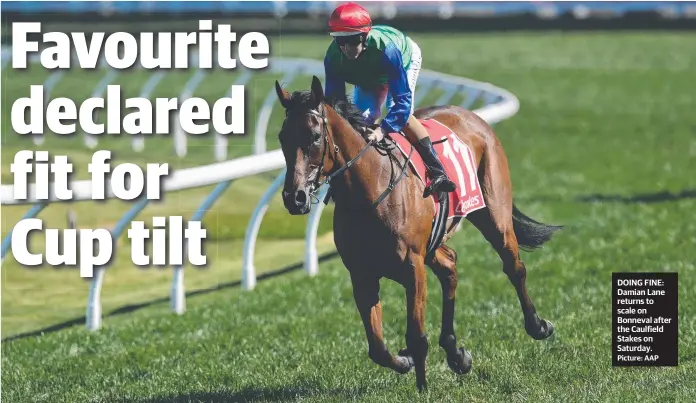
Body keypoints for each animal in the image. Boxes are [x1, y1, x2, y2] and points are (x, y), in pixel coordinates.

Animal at [274, 75, 564, 392]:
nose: (294, 198)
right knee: (449, 266)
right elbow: (376, 348)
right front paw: (405, 361)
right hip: (434, 243)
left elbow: (416, 336)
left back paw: (538, 326)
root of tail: (472, 117)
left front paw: (423, 387)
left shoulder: (413, 266)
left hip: (493, 212)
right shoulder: (361, 273)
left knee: (513, 266)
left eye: (314, 136)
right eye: (282, 137)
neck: (370, 190)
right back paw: (456, 353)